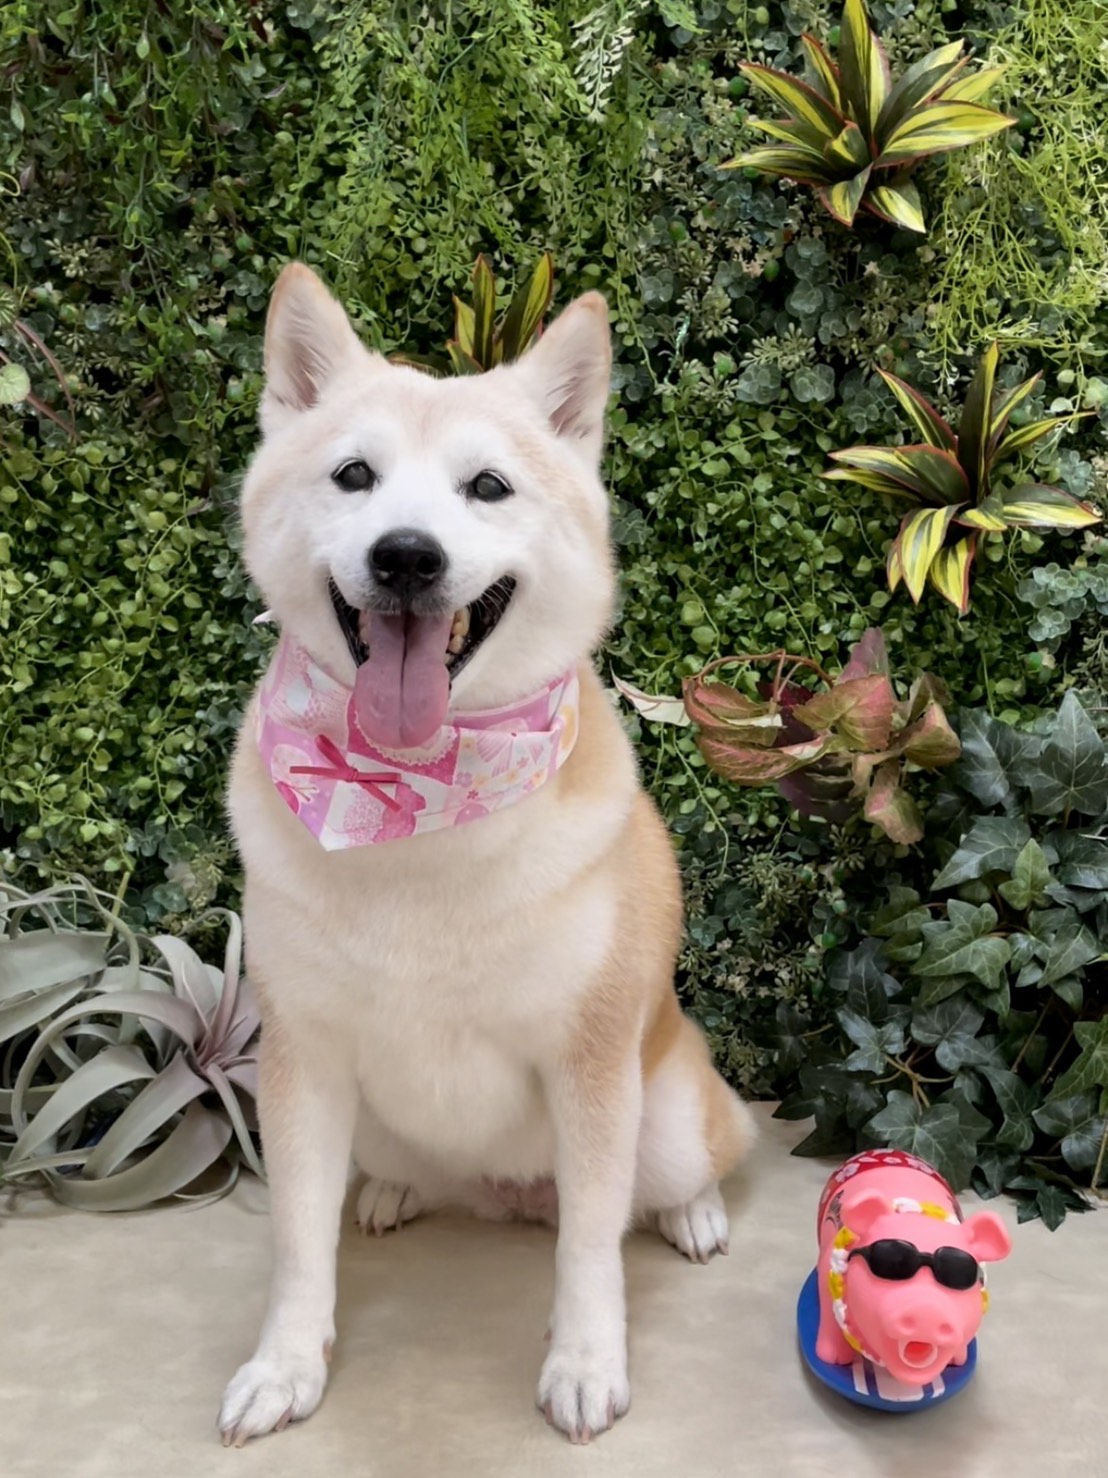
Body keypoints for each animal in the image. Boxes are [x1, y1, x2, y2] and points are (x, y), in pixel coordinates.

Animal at [218, 263, 754, 1446]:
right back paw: (393, 1195)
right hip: (379, 1127)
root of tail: (509, 1192)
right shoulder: (302, 1055)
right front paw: (283, 1364)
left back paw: (691, 1212)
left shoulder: (589, 1061)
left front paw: (586, 1364)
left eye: (488, 487)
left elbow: (592, 1247)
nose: (406, 554)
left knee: (675, 1174)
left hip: (666, 1110)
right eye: (355, 474)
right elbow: (294, 1244)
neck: (414, 799)